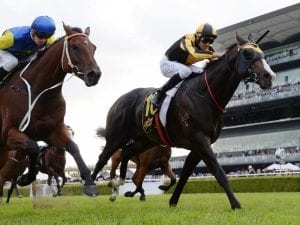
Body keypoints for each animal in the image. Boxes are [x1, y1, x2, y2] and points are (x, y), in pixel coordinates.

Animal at [0, 22, 101, 195]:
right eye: (74, 47)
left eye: (93, 47)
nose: (94, 74)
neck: (39, 92)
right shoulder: (8, 133)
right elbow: (33, 146)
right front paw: (26, 177)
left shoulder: (52, 130)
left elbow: (73, 147)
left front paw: (89, 182)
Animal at [92, 33, 276, 209]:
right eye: (247, 54)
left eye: (262, 54)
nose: (269, 76)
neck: (205, 95)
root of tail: (119, 100)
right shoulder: (200, 140)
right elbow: (218, 172)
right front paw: (235, 204)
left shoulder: (198, 145)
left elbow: (185, 174)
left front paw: (172, 200)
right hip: (116, 137)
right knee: (102, 158)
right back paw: (91, 187)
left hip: (145, 140)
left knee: (127, 153)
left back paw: (119, 182)